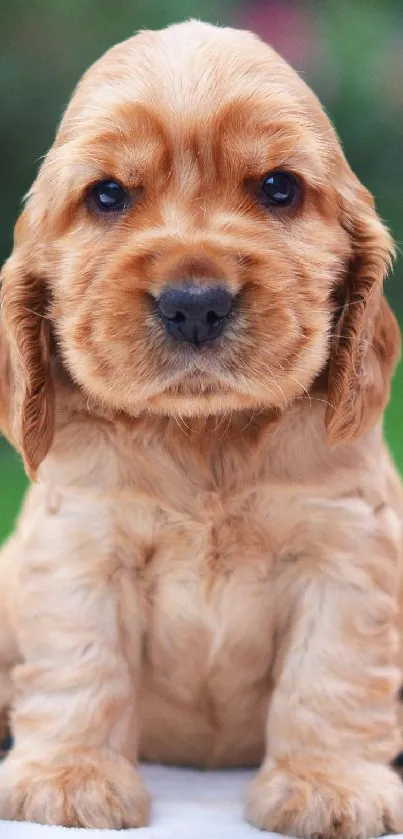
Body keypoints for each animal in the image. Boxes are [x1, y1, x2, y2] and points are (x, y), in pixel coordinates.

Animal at [0, 19, 403, 839]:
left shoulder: (345, 550)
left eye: (279, 187)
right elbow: (81, 662)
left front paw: (328, 786)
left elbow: (332, 673)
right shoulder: (81, 547)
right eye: (108, 194)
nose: (194, 304)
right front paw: (69, 778)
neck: (205, 433)